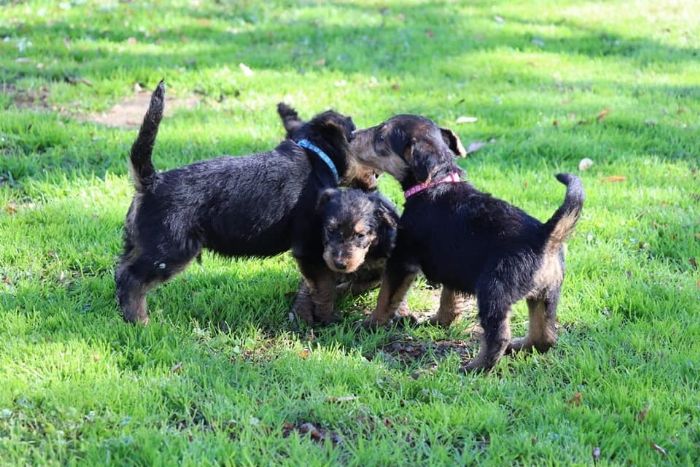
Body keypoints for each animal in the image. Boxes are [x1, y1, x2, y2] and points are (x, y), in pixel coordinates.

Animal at [352, 116, 584, 372]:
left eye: (381, 136)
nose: (351, 136)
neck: (435, 182)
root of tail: (545, 235)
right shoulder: (453, 264)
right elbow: (448, 299)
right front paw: (437, 322)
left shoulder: (401, 260)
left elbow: (386, 298)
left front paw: (370, 324)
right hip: (547, 293)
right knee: (545, 337)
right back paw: (518, 347)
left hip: (493, 291)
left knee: (498, 336)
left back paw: (474, 368)